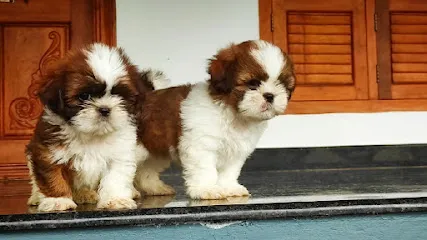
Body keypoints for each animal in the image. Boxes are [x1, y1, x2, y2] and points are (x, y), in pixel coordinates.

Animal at [25, 42, 165, 211]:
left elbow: (115, 178)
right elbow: (53, 176)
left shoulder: (119, 154)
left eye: (119, 95)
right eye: (84, 96)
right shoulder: (48, 152)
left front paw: (115, 200)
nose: (104, 109)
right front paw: (58, 201)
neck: (92, 134)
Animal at [135, 40, 296, 200]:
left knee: (146, 170)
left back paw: (155, 188)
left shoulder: (236, 151)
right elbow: (205, 170)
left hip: (155, 149)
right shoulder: (201, 146)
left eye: (282, 84)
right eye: (253, 83)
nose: (270, 95)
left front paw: (229, 187)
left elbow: (230, 171)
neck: (233, 114)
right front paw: (206, 189)